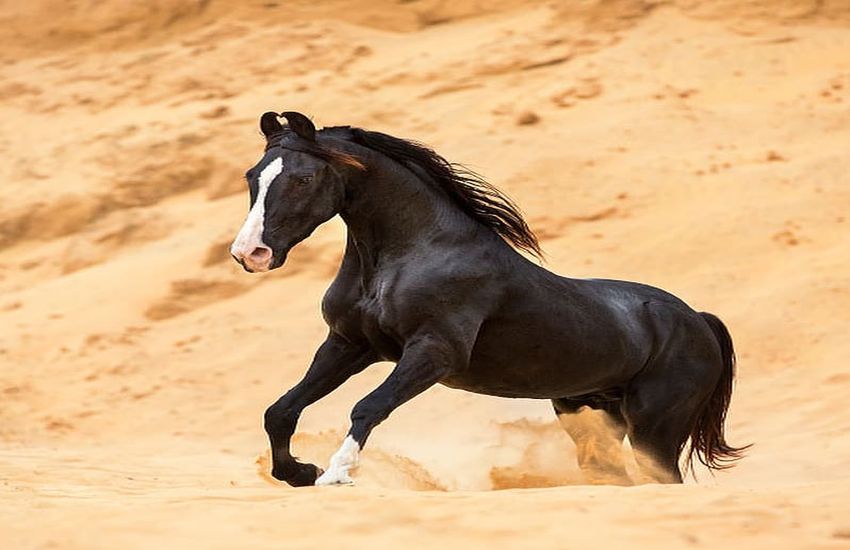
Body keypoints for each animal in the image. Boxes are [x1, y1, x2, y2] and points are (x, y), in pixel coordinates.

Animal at [230, 110, 749, 487]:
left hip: (655, 427)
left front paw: (336, 474)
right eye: (253, 175)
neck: (413, 251)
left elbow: (368, 406)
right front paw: (298, 472)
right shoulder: (348, 345)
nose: (250, 253)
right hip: (590, 416)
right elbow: (281, 410)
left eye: (303, 179)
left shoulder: (434, 352)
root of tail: (697, 318)